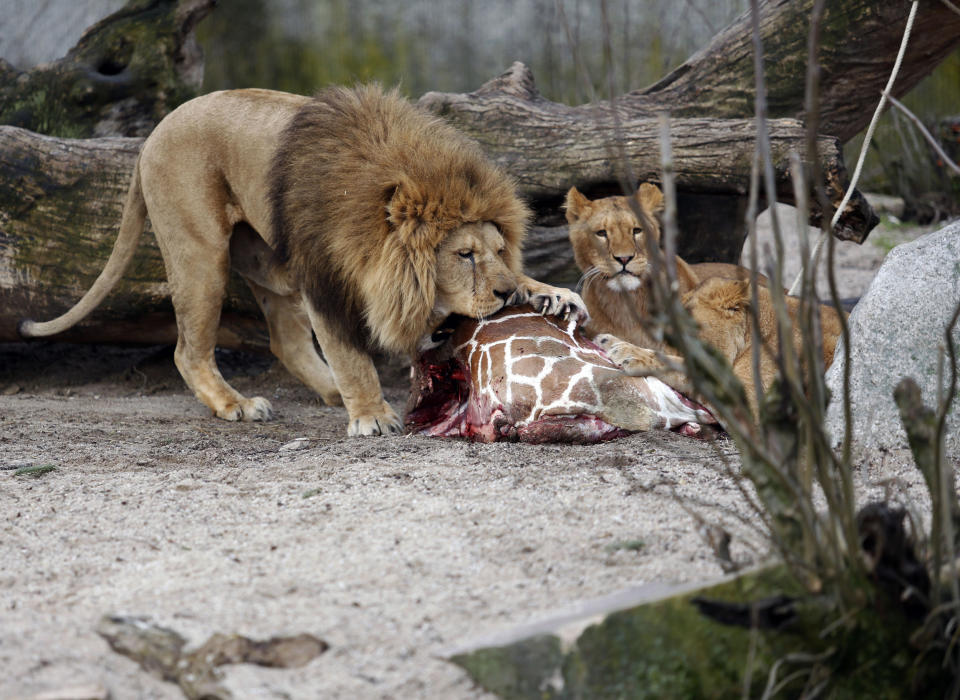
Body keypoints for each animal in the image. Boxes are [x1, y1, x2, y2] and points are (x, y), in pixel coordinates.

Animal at [20, 85, 584, 434]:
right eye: (463, 254)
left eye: (498, 250)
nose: (506, 293)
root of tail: (149, 139)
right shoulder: (326, 279)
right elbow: (351, 354)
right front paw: (371, 414)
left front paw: (553, 295)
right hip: (201, 254)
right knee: (189, 350)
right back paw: (238, 404)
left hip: (269, 262)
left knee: (284, 340)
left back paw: (328, 391)